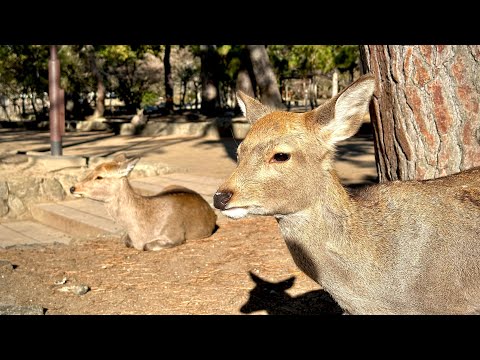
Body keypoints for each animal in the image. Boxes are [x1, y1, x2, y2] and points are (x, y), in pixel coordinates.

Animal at [70, 153, 218, 252]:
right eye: (91, 170)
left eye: (99, 177)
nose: (73, 188)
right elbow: (125, 240)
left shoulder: (174, 235)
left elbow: (147, 246)